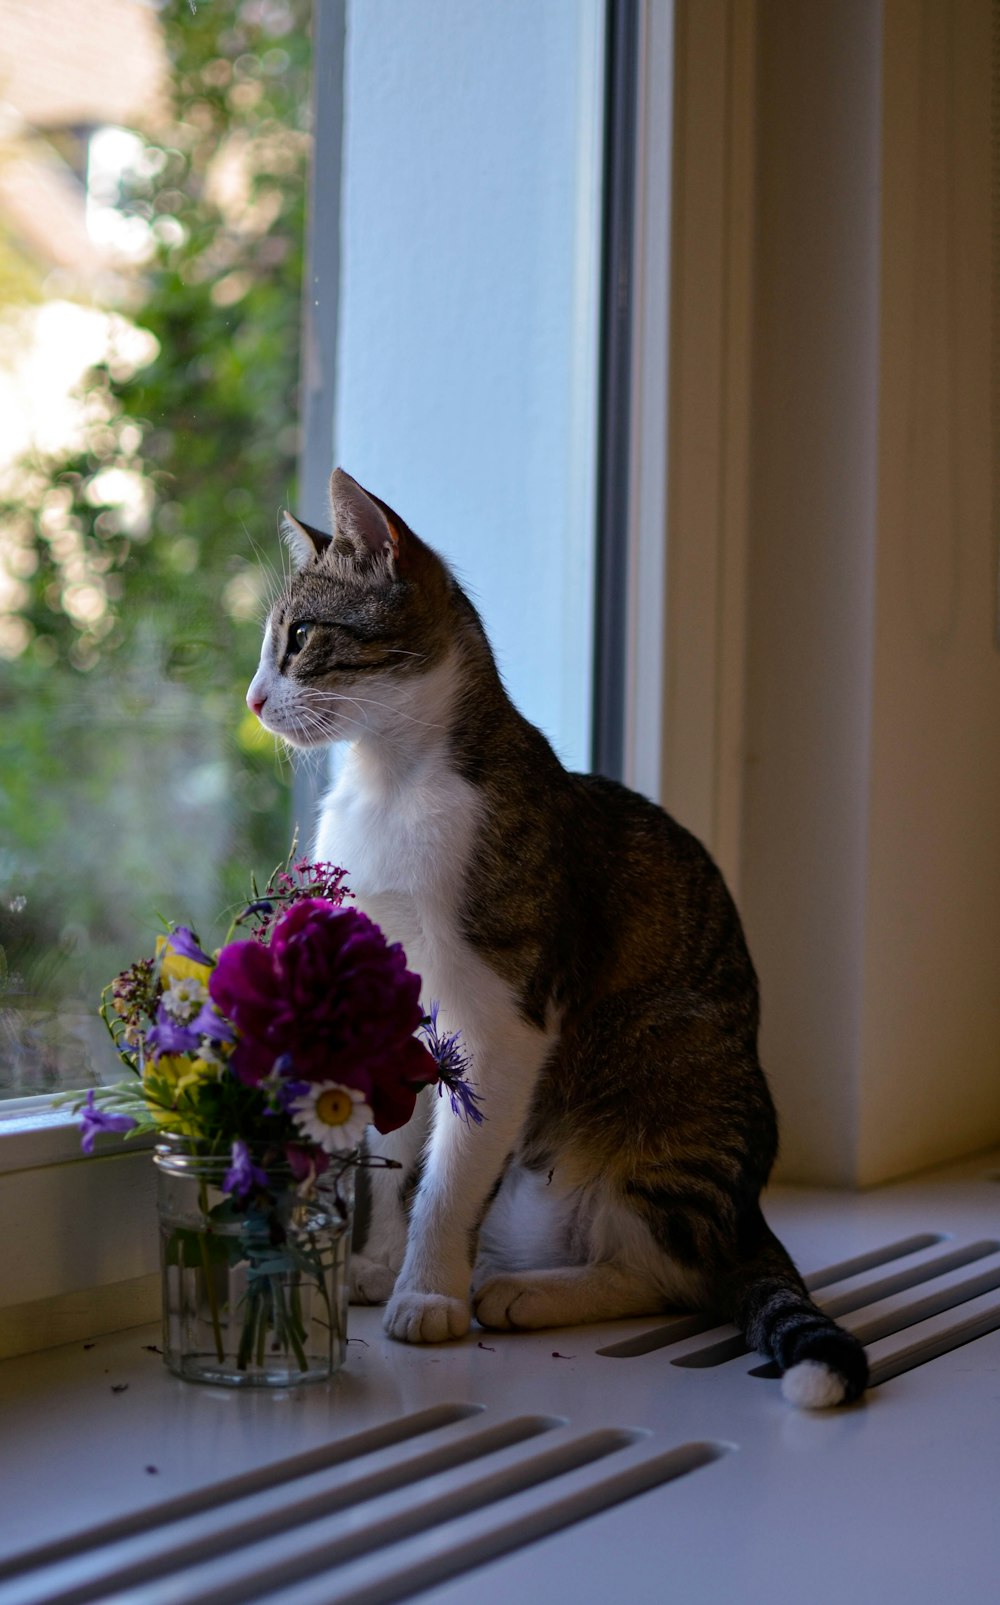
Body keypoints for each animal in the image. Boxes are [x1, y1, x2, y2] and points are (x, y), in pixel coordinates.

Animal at [248, 468, 866, 1412]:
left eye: (301, 637)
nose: (250, 698)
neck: (392, 784)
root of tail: (747, 1207)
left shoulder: (502, 1017)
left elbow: (446, 1177)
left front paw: (426, 1294)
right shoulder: (396, 997)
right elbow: (395, 1157)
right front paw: (381, 1265)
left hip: (665, 1101)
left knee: (671, 1271)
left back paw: (521, 1293)